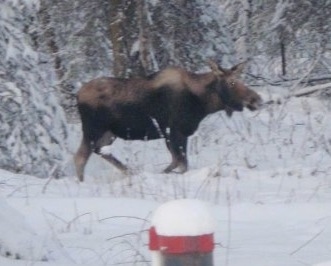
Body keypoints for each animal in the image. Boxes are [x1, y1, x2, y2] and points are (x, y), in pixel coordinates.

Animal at [74, 60, 264, 182]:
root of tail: (78, 94)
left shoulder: (179, 134)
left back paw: (129, 172)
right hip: (93, 130)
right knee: (81, 157)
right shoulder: (173, 132)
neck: (202, 103)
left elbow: (178, 162)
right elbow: (180, 163)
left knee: (100, 151)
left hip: (108, 133)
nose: (257, 100)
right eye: (231, 82)